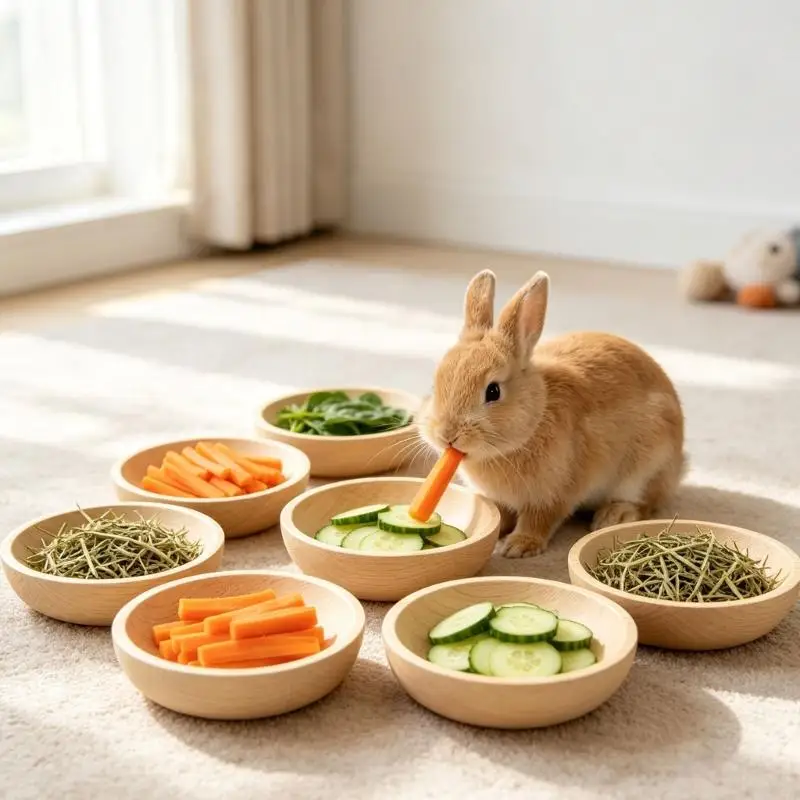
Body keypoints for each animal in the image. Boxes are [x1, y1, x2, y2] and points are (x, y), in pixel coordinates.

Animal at [417, 269, 687, 558]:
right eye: (435, 383)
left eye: (493, 391)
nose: (446, 435)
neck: (533, 423)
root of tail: (680, 464)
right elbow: (502, 515)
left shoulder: (554, 493)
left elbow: (539, 520)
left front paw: (518, 546)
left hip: (648, 465)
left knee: (647, 501)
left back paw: (614, 516)